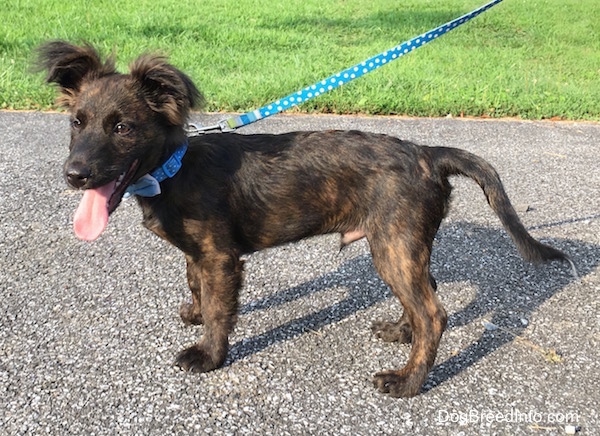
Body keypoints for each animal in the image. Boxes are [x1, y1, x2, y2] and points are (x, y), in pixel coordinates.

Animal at [35, 41, 568, 398]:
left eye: (123, 127)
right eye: (76, 122)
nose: (73, 175)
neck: (173, 167)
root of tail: (428, 154)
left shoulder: (221, 258)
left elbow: (220, 311)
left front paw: (208, 355)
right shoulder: (199, 255)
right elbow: (195, 286)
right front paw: (194, 313)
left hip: (393, 246)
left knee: (434, 314)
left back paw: (407, 381)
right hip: (401, 245)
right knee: (427, 296)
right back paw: (401, 332)